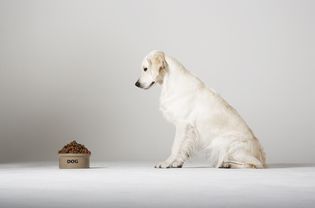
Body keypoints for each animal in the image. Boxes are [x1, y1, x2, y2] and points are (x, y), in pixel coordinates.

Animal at [135, 50, 266, 169]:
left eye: (145, 69)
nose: (136, 84)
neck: (170, 81)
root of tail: (261, 155)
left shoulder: (182, 124)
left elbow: (175, 146)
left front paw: (166, 163)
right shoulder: (189, 130)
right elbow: (184, 147)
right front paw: (177, 163)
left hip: (224, 142)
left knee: (254, 164)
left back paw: (225, 164)